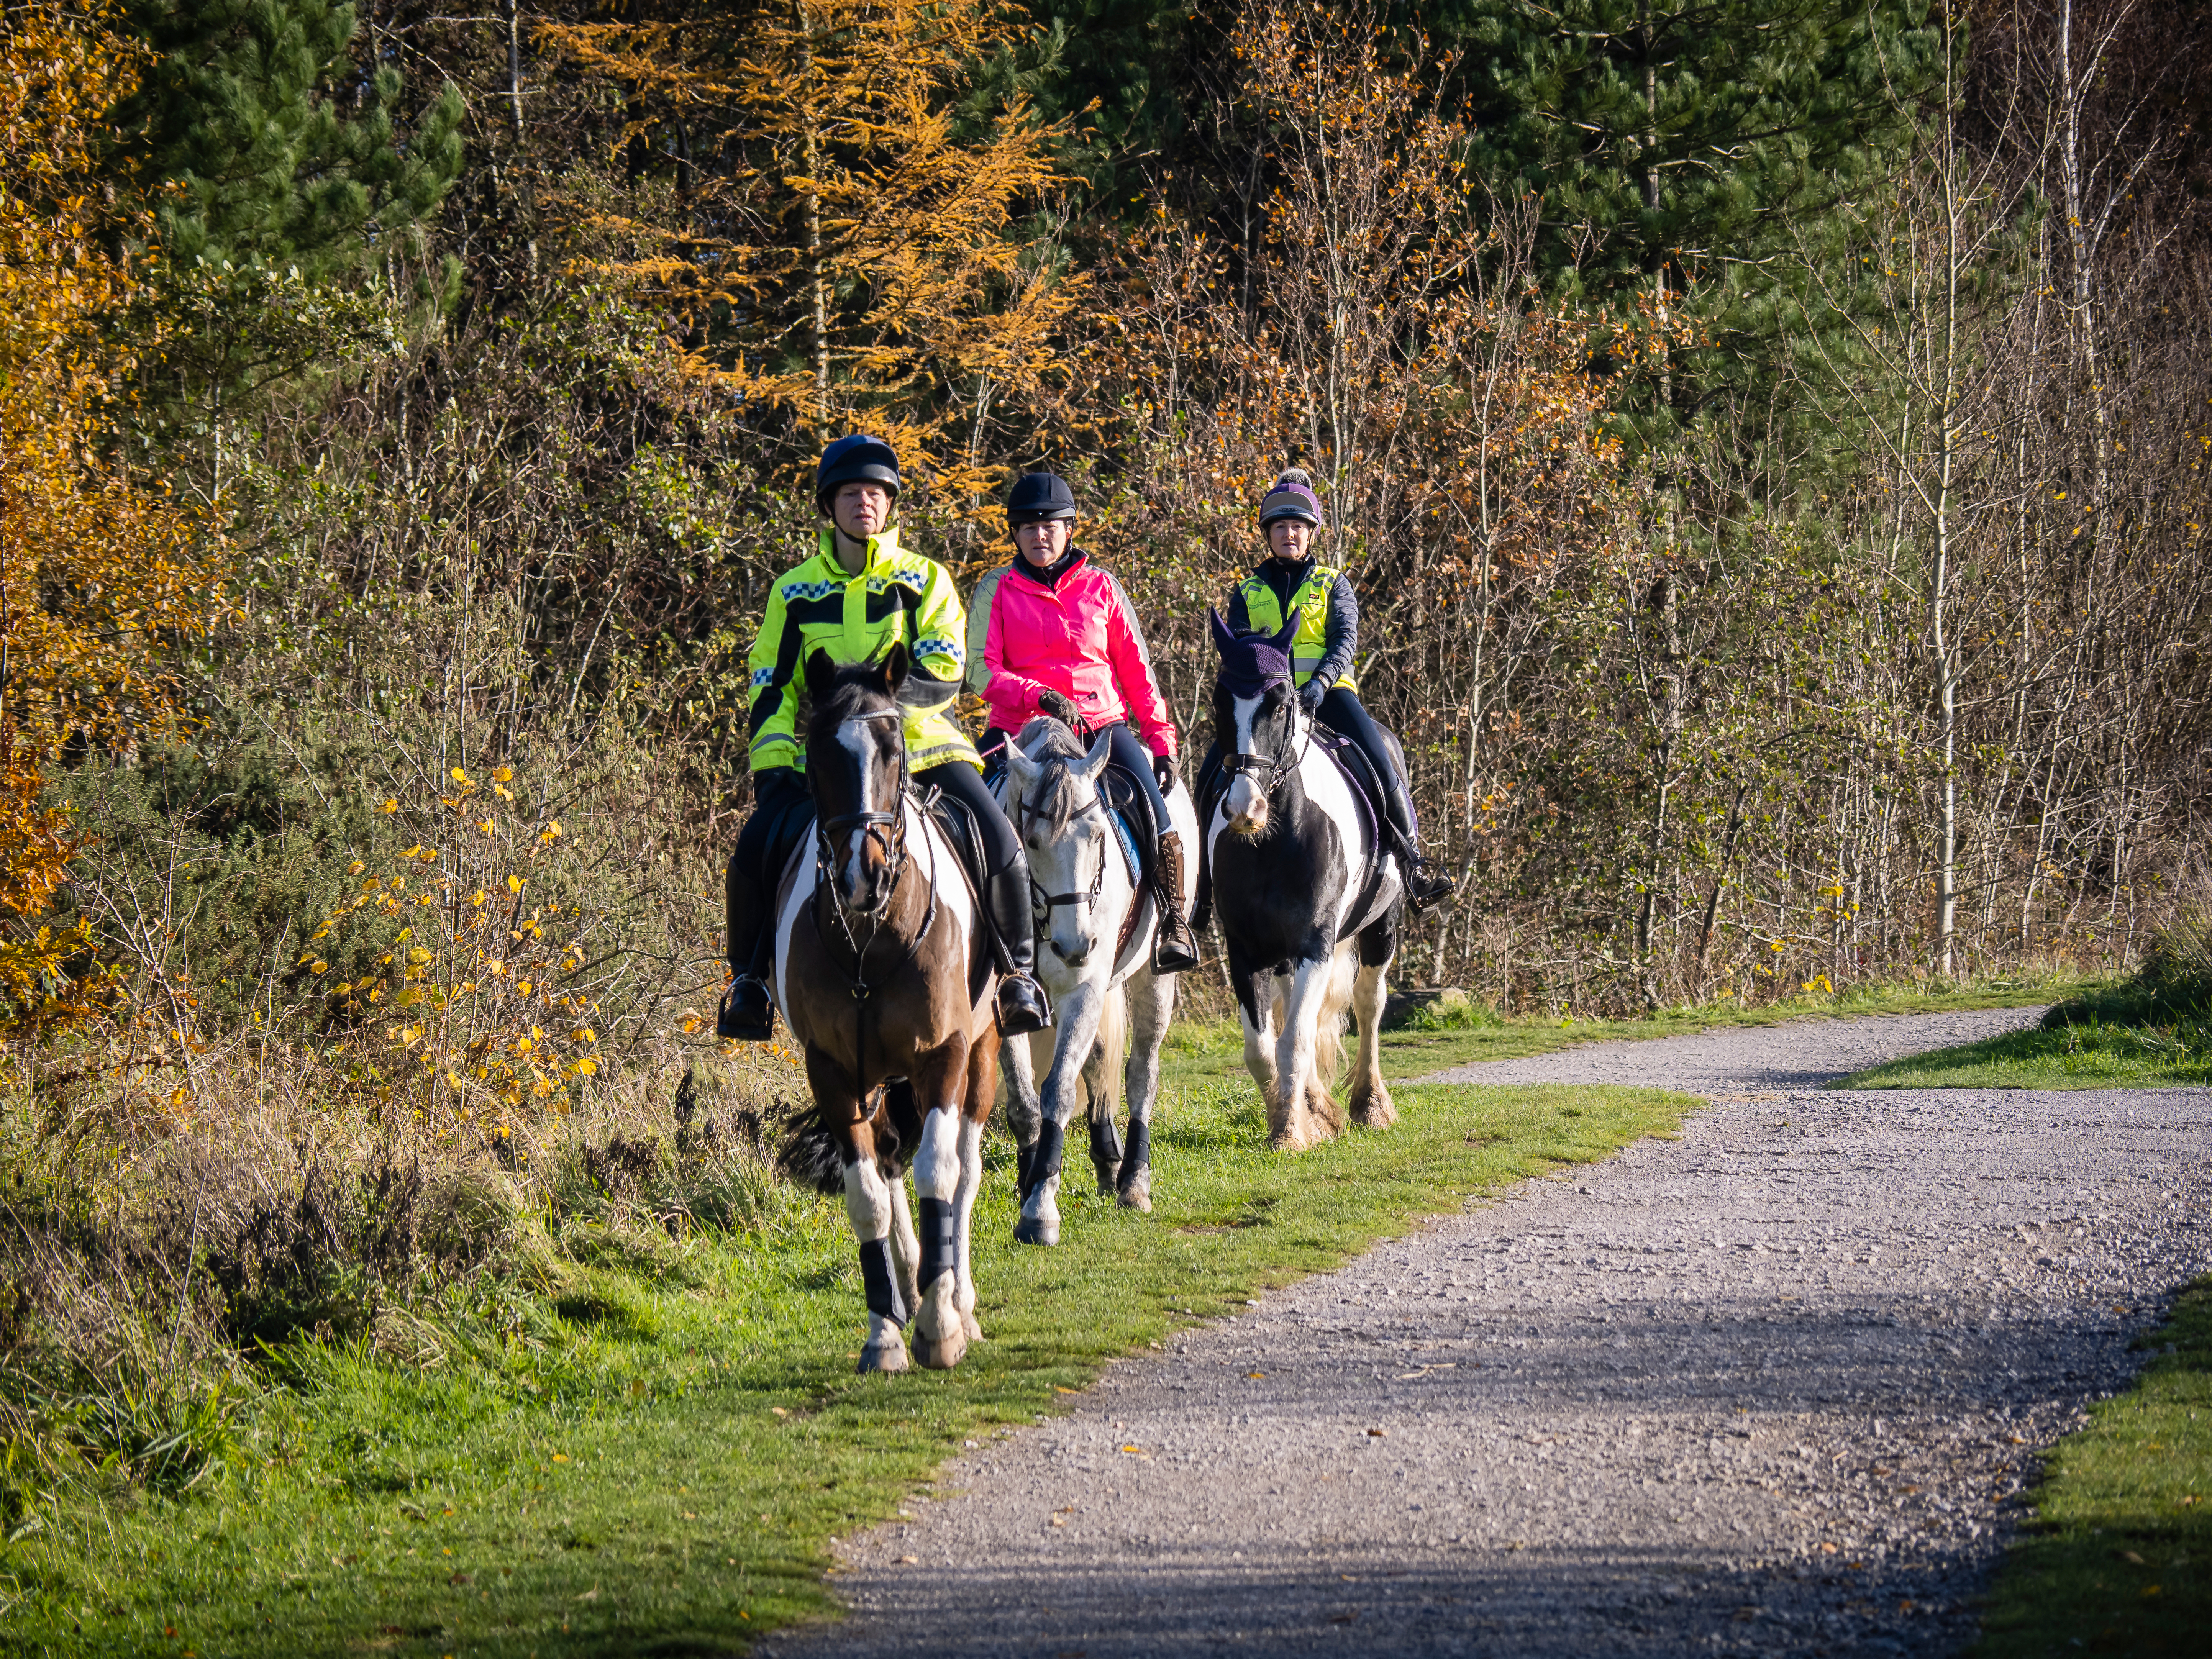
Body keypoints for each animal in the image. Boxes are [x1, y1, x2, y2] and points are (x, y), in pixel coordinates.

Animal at [772, 646, 1001, 1372]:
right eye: (817, 752)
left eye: (894, 749)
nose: (861, 875)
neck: (874, 938)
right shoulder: (833, 1071)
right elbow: (868, 1195)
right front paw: (885, 1333)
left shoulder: (944, 1054)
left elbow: (942, 1172)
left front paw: (941, 1325)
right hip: (877, 1080)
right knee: (893, 1161)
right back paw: (912, 1285)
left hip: (983, 1050)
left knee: (963, 1168)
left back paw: (957, 1297)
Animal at [993, 716, 1200, 1244]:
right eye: (1031, 841)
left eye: (1097, 836)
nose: (1075, 946)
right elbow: (1023, 1100)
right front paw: (1029, 1183)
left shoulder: (1082, 988)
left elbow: (1059, 1090)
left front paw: (1040, 1208)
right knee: (1100, 1061)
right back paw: (1107, 1162)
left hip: (1153, 977)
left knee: (1141, 1074)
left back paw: (1133, 1182)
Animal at [1205, 608, 1400, 1150]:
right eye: (1218, 700)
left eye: (1281, 704)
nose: (1244, 809)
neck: (1274, 842)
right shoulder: (1246, 948)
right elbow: (1261, 1047)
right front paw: (1297, 1117)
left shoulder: (1316, 941)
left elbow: (1293, 1040)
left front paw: (1291, 1133)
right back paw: (1318, 1103)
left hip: (1381, 925)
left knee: (1368, 1003)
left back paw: (1369, 1104)